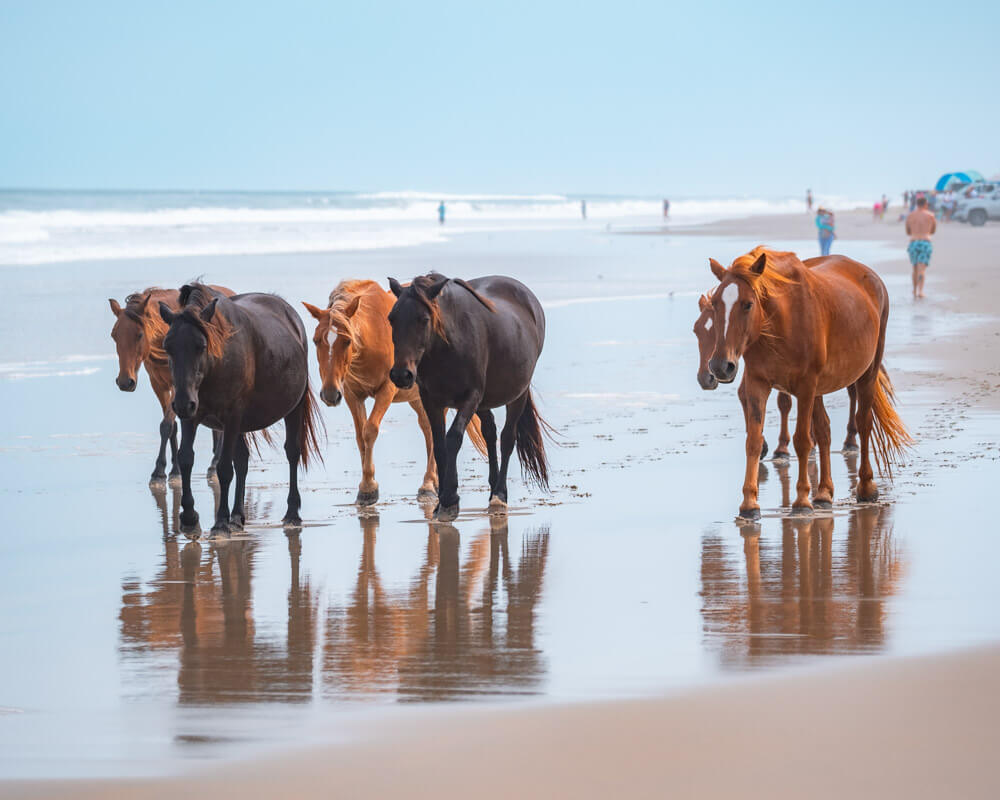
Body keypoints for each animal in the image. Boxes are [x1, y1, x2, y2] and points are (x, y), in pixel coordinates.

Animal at [109, 288, 234, 488]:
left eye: (139, 334)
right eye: (114, 335)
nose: (125, 382)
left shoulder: (179, 387)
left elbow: (166, 425)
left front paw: (159, 472)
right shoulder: (159, 385)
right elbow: (173, 427)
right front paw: (175, 470)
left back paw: (214, 465)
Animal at [159, 284, 324, 536]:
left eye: (201, 346)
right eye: (168, 347)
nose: (183, 402)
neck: (216, 367)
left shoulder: (232, 417)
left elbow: (225, 468)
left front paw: (220, 523)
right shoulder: (192, 416)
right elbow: (186, 458)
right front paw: (189, 518)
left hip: (292, 410)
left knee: (292, 453)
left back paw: (292, 513)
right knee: (243, 460)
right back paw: (237, 516)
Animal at [300, 282, 484, 506]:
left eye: (347, 341)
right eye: (316, 340)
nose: (329, 394)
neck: (371, 336)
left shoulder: (386, 390)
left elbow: (370, 430)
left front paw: (368, 489)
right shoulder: (352, 395)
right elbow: (360, 437)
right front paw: (366, 485)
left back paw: (428, 485)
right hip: (417, 398)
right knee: (428, 429)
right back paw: (432, 481)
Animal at [386, 272, 552, 520]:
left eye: (423, 319)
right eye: (392, 319)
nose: (401, 375)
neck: (446, 348)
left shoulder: (470, 397)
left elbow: (453, 438)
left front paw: (449, 499)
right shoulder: (431, 401)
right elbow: (439, 444)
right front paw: (442, 501)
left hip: (517, 395)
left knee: (507, 438)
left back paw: (499, 495)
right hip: (484, 403)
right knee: (490, 431)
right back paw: (493, 487)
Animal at [708, 245, 912, 520]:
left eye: (748, 304)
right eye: (714, 304)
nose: (720, 365)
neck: (780, 324)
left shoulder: (805, 386)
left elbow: (803, 441)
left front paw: (802, 500)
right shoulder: (757, 383)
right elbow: (754, 440)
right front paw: (750, 504)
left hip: (866, 373)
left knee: (864, 423)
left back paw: (866, 487)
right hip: (819, 389)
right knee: (824, 431)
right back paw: (824, 493)